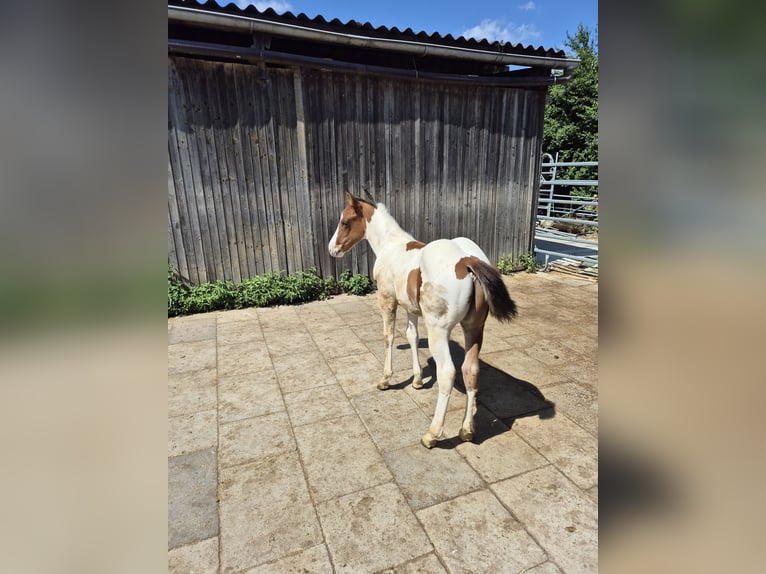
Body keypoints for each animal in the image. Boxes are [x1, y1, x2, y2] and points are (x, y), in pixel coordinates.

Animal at [328, 192, 517, 448]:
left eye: (345, 221)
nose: (332, 249)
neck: (391, 246)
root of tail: (467, 262)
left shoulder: (387, 300)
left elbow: (388, 336)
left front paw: (385, 379)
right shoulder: (410, 308)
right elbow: (412, 336)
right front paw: (417, 380)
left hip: (439, 330)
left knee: (447, 373)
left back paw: (432, 434)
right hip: (474, 329)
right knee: (471, 371)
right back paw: (467, 430)